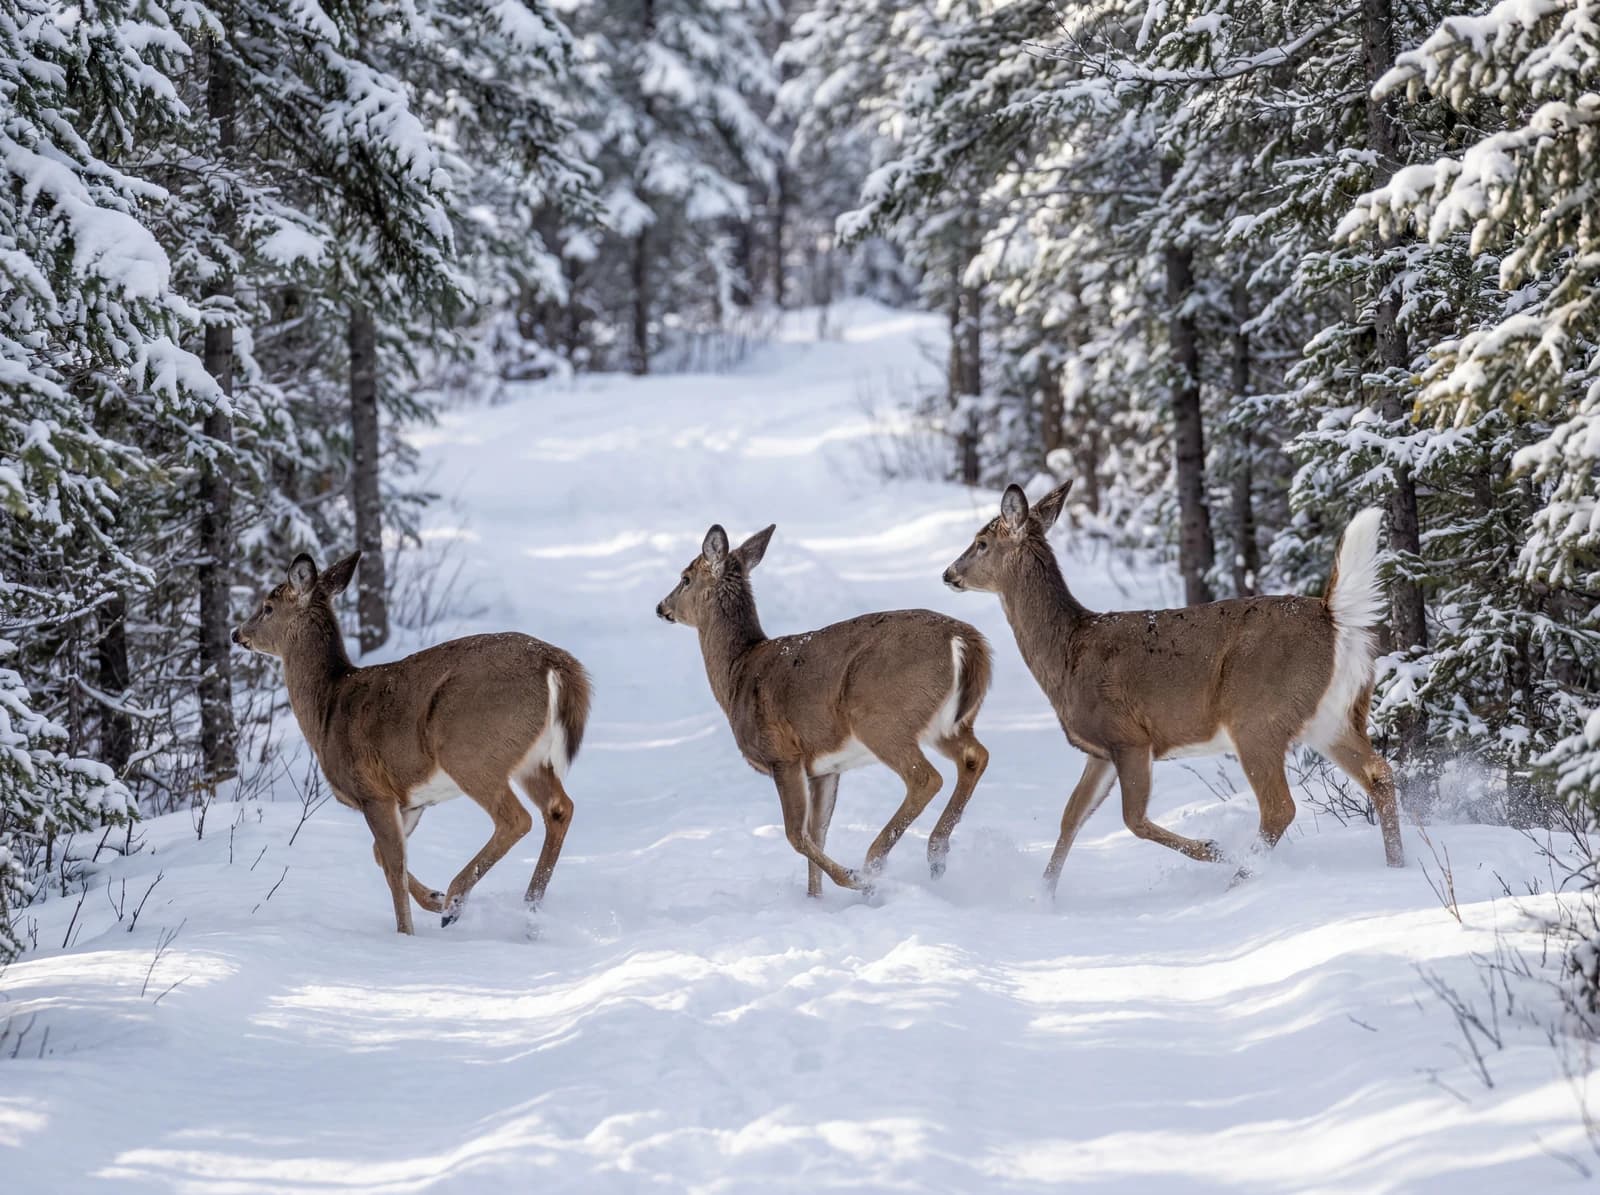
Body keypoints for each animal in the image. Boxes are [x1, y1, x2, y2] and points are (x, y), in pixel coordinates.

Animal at [231, 551, 591, 934]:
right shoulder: (410, 800)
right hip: (531, 759)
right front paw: (431, 899)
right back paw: (529, 909)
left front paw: (407, 932)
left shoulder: (372, 790)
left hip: (470, 749)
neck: (327, 709)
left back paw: (456, 902)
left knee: (516, 818)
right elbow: (382, 855)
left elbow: (392, 865)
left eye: (267, 607)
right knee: (559, 808)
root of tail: (556, 664)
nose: (237, 633)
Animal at [656, 524, 992, 896]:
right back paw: (936, 853)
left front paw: (852, 879)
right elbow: (818, 833)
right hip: (948, 723)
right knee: (975, 756)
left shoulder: (783, 754)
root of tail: (965, 640)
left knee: (926, 777)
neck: (737, 673)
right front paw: (815, 899)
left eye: (685, 578)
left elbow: (796, 835)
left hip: (882, 716)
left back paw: (872, 866)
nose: (661, 607)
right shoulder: (825, 769)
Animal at [942, 482, 1405, 897]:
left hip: (1257, 715)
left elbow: (1132, 819)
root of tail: (1333, 617)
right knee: (1379, 774)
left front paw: (1214, 849)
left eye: (981, 543)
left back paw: (1238, 876)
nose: (949, 573)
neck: (1068, 653)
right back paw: (1396, 865)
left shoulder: (1129, 735)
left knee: (1280, 807)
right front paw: (1042, 896)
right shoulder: (1100, 750)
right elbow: (1071, 816)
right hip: (1332, 718)